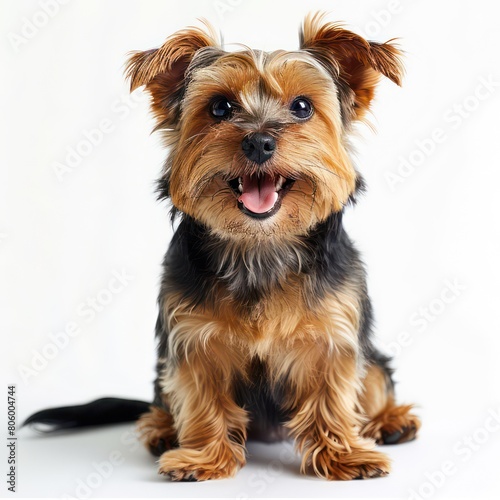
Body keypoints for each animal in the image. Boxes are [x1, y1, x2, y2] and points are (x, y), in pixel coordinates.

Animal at [25, 13, 420, 482]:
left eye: (302, 106)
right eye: (219, 108)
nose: (259, 141)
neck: (259, 248)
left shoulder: (334, 331)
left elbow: (333, 394)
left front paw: (344, 455)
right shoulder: (191, 337)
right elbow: (201, 397)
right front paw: (202, 457)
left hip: (371, 357)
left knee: (376, 378)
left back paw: (390, 422)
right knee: (163, 399)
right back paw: (161, 430)